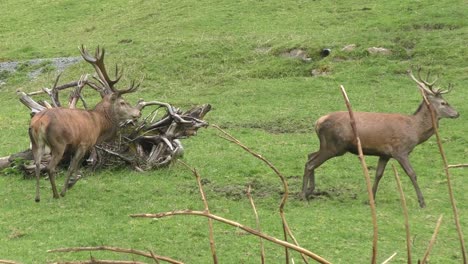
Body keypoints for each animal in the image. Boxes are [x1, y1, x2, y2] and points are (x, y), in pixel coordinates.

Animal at [29, 46, 141, 202]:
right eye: (123, 102)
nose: (138, 113)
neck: (98, 124)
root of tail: (39, 121)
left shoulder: (75, 146)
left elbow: (76, 169)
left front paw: (70, 184)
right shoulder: (84, 143)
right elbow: (73, 168)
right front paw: (67, 187)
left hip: (36, 143)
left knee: (38, 165)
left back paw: (37, 197)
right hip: (58, 143)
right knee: (50, 167)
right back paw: (56, 194)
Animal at [302, 69, 458, 208]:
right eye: (444, 102)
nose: (457, 113)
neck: (415, 129)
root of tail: (318, 122)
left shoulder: (384, 154)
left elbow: (378, 174)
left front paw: (370, 199)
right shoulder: (400, 151)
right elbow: (412, 174)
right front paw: (422, 202)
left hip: (328, 145)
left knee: (309, 156)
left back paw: (309, 191)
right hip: (334, 146)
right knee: (311, 163)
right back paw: (303, 194)